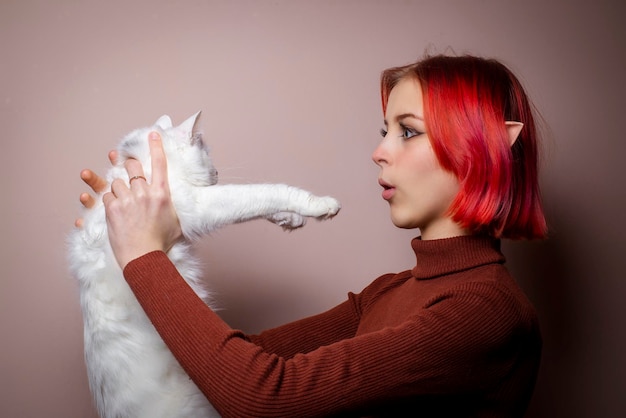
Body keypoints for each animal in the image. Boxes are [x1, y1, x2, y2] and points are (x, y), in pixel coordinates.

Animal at [67, 112, 338, 418]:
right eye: (207, 155)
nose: (217, 173)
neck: (147, 164)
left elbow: (262, 202)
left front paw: (291, 219)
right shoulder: (200, 205)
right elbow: (265, 192)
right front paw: (321, 206)